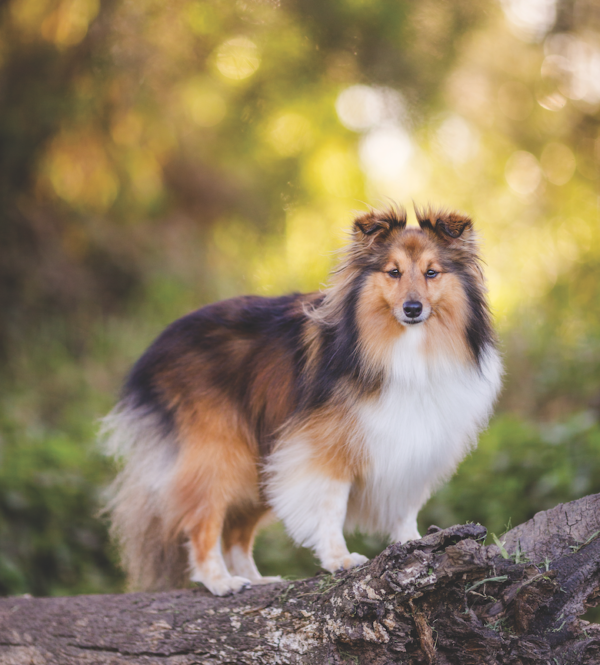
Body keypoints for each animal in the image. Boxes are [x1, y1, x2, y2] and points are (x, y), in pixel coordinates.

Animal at [102, 205, 502, 592]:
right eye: (393, 272)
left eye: (432, 273)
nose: (412, 309)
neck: (407, 348)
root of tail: (157, 347)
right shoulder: (326, 447)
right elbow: (331, 507)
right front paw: (339, 559)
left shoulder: (414, 443)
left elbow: (405, 506)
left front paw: (413, 545)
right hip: (222, 453)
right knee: (203, 520)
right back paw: (220, 581)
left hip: (259, 459)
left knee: (236, 531)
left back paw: (256, 579)